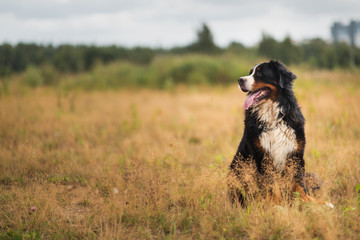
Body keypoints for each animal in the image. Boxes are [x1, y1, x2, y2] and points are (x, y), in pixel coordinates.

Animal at [229, 60, 334, 208]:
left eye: (259, 73)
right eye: (250, 73)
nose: (240, 80)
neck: (274, 117)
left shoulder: (295, 153)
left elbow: (299, 185)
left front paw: (311, 203)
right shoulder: (263, 155)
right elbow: (272, 185)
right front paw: (277, 206)